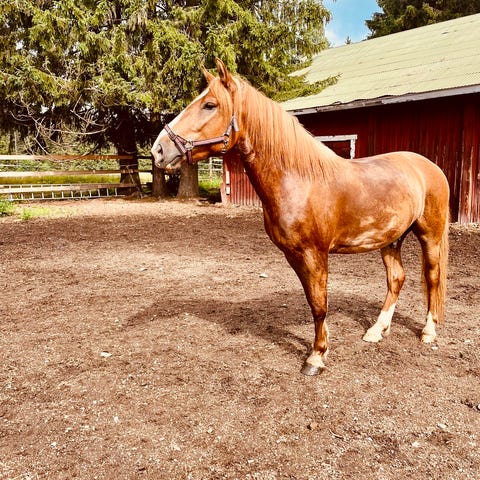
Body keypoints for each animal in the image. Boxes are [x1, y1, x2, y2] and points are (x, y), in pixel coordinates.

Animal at [151, 59, 450, 376]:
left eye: (209, 105)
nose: (158, 150)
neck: (299, 180)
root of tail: (428, 167)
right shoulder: (293, 254)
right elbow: (312, 301)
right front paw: (322, 346)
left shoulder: (315, 253)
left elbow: (320, 304)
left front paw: (316, 357)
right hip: (391, 239)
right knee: (396, 279)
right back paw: (376, 330)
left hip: (429, 236)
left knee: (432, 277)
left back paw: (428, 331)